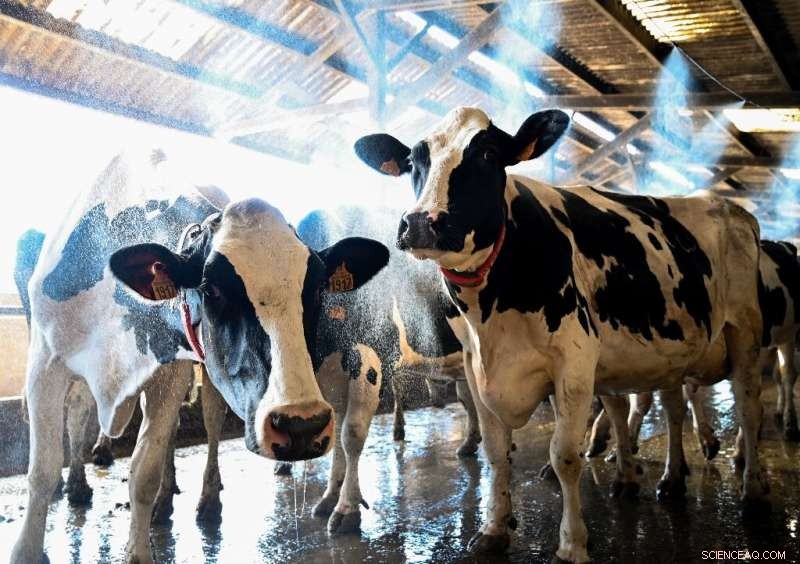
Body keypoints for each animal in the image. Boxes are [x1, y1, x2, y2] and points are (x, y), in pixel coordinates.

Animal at [11, 149, 389, 564]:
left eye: (318, 288)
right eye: (212, 290)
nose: (301, 426)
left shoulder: (170, 372)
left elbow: (144, 471)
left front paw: (138, 550)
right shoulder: (44, 362)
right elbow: (43, 469)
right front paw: (27, 549)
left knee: (208, 422)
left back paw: (205, 501)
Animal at [354, 106, 767, 562]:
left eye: (488, 154)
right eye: (413, 161)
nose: (421, 223)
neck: (491, 313)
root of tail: (731, 208)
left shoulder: (574, 362)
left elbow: (565, 455)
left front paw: (572, 544)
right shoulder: (476, 367)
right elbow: (495, 451)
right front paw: (494, 529)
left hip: (746, 334)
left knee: (749, 408)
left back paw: (751, 491)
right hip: (669, 354)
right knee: (670, 409)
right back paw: (666, 479)